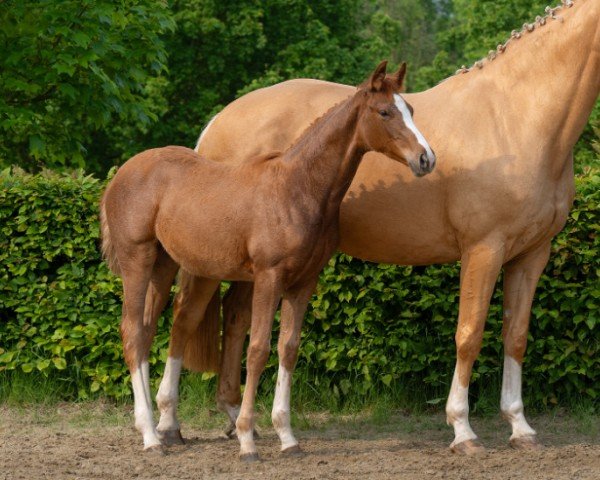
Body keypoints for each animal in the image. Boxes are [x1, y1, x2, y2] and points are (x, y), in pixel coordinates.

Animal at [99, 61, 432, 462]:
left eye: (410, 109)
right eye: (384, 112)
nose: (426, 159)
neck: (297, 189)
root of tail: (121, 175)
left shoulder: (304, 282)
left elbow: (288, 348)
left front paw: (287, 436)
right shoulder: (269, 277)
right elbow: (257, 349)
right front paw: (247, 439)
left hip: (164, 266)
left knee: (149, 331)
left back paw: (154, 426)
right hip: (138, 260)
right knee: (133, 332)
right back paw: (150, 434)